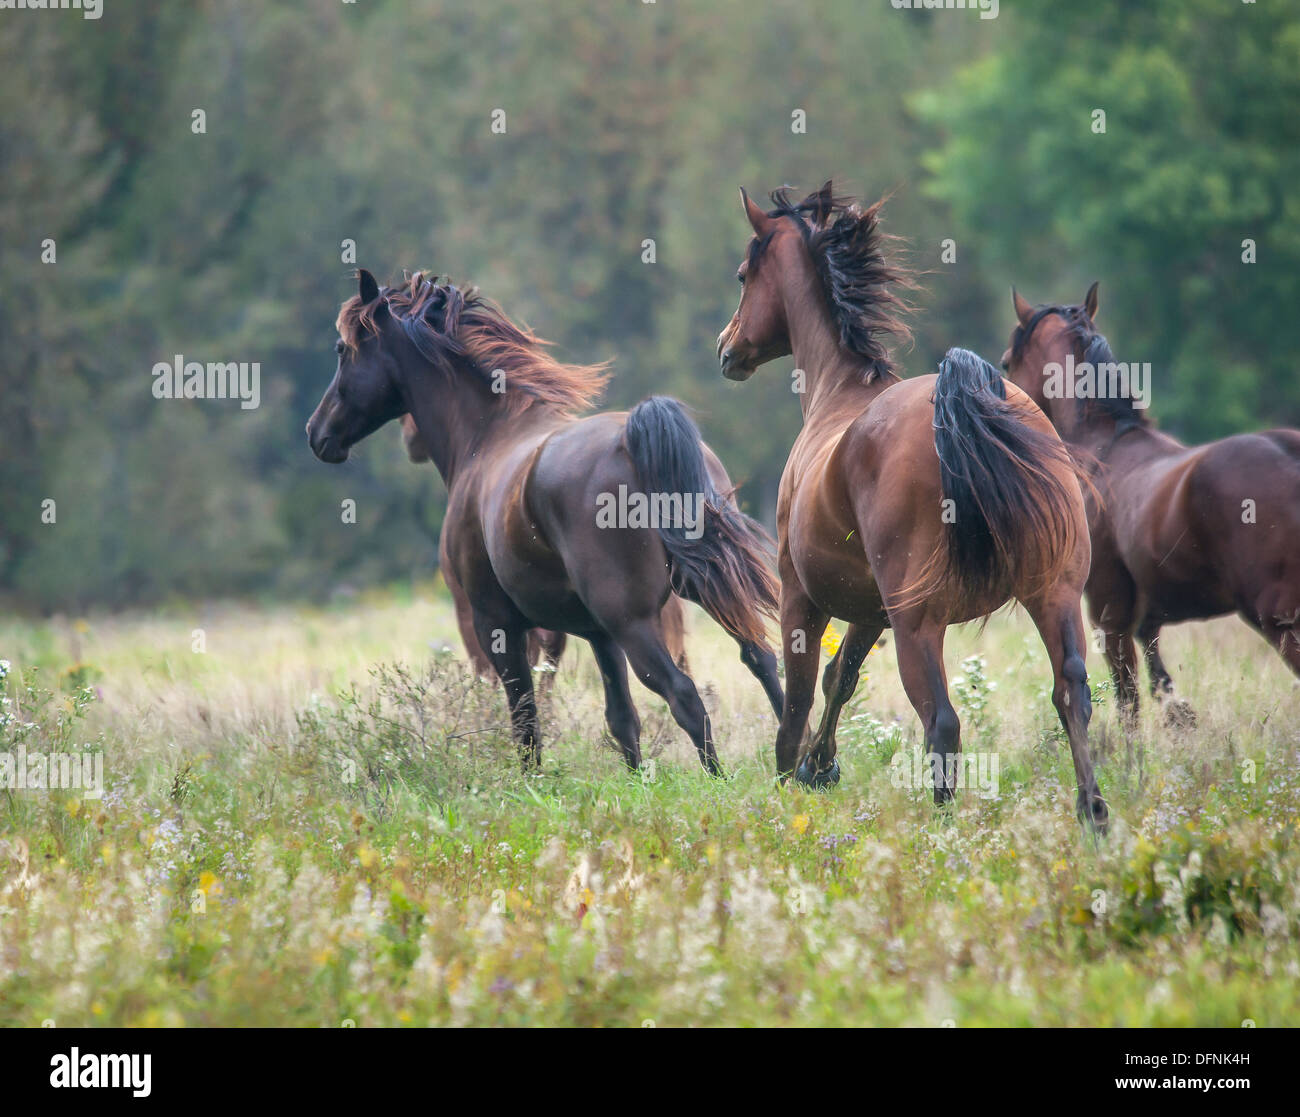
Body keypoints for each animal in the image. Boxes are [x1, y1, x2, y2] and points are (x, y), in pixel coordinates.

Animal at [712, 183, 1107, 832]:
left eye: (744, 274)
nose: (726, 348)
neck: (838, 395)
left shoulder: (802, 597)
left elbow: (799, 697)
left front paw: (791, 780)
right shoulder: (870, 609)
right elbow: (841, 677)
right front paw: (820, 766)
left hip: (919, 625)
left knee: (941, 723)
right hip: (1052, 594)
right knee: (1070, 691)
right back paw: (1093, 814)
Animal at [998, 288, 1294, 722]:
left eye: (1007, 362)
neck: (1102, 448)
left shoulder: (1109, 615)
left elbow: (1128, 703)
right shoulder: (1146, 621)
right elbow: (1163, 692)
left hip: (1275, 617)